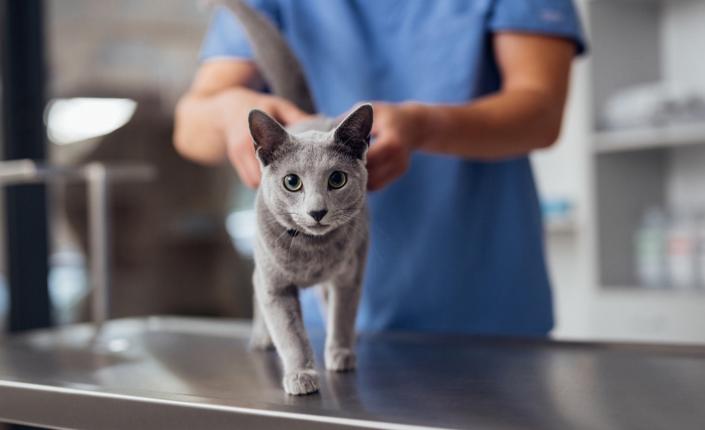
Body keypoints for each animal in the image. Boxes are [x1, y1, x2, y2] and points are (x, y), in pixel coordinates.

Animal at [219, 0, 374, 396]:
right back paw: (261, 339)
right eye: (292, 182)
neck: (312, 253)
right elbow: (290, 332)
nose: (317, 211)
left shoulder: (350, 274)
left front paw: (341, 353)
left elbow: (343, 312)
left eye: (337, 179)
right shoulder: (276, 286)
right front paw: (301, 374)